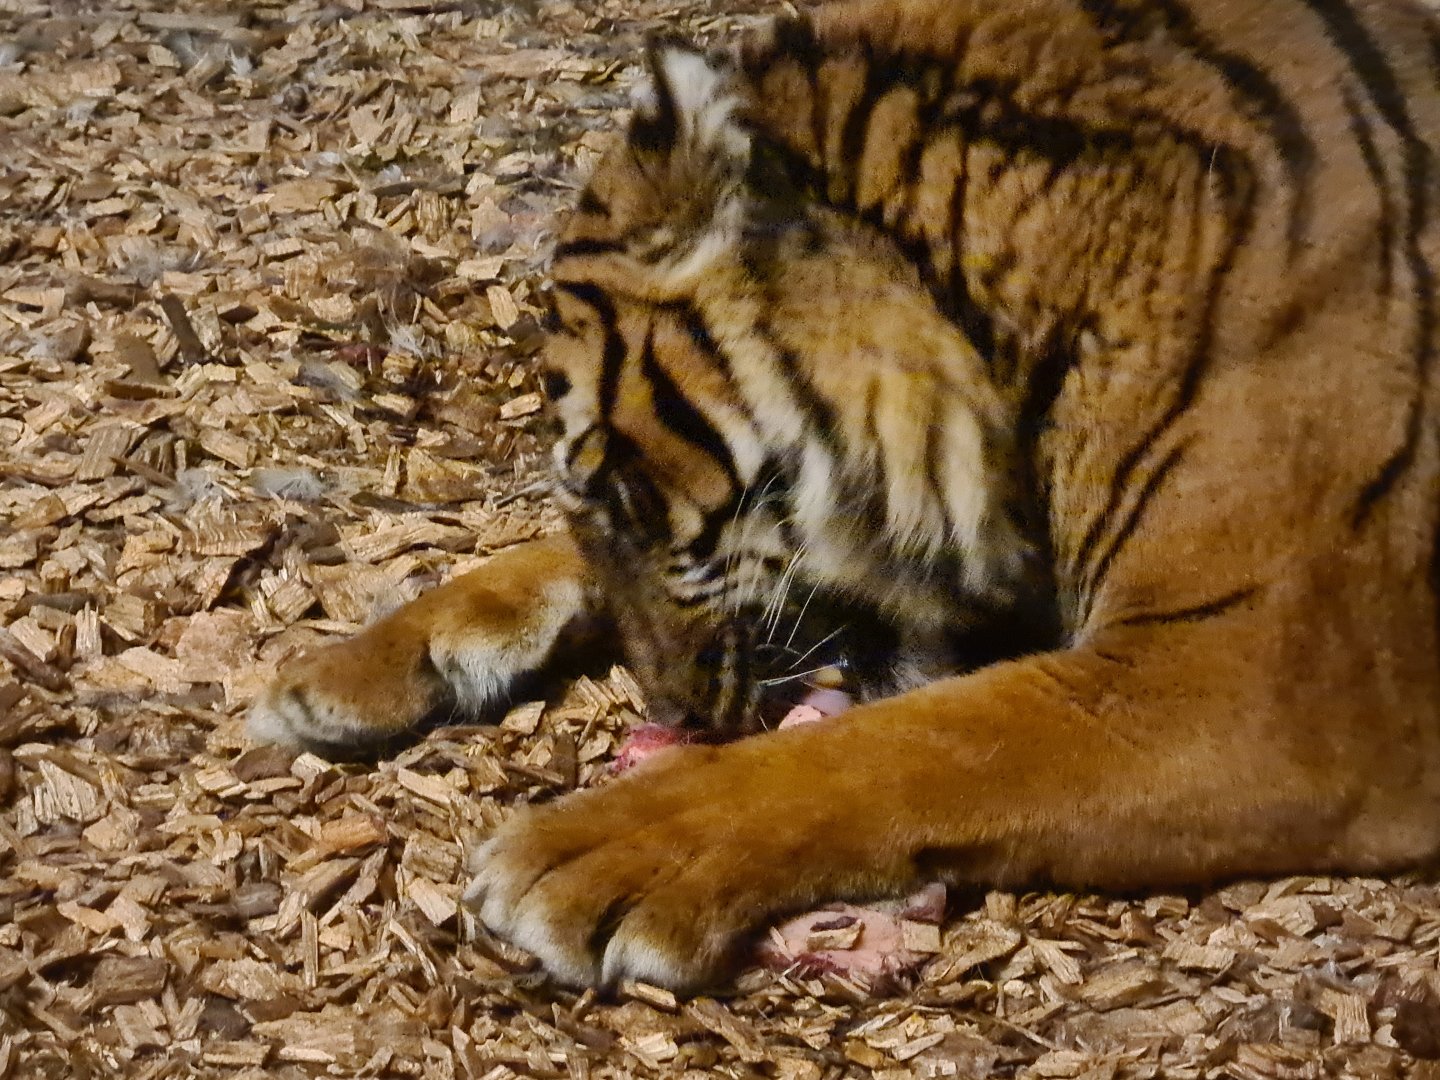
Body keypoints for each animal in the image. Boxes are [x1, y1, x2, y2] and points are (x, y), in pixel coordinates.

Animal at [249, 0, 1440, 991]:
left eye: (626, 494)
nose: (678, 716)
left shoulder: (1260, 682)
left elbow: (904, 746)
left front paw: (593, 852)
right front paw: (355, 663)